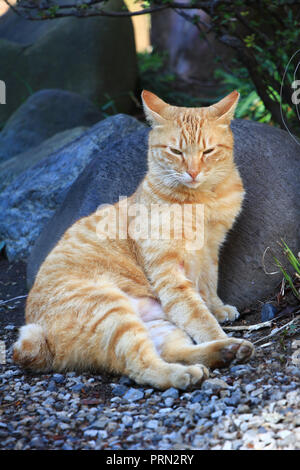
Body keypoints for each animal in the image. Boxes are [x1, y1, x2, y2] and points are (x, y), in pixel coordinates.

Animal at [12, 91, 254, 390]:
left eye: (207, 151)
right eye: (176, 152)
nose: (193, 172)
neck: (203, 200)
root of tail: (43, 342)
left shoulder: (210, 249)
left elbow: (208, 286)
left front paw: (218, 309)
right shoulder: (168, 269)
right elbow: (196, 313)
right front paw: (216, 329)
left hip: (159, 325)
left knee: (174, 351)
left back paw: (227, 351)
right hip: (113, 313)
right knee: (140, 366)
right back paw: (191, 370)